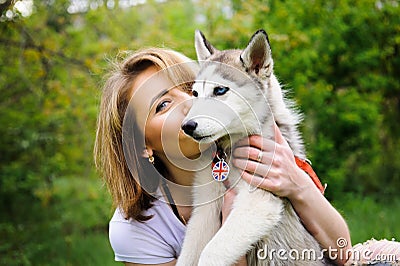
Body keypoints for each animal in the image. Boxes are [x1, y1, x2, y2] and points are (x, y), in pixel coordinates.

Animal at [177, 30, 324, 264]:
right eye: (195, 94)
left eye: (220, 90)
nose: (187, 126)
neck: (228, 151)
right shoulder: (205, 208)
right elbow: (190, 254)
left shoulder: (259, 200)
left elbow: (210, 253)